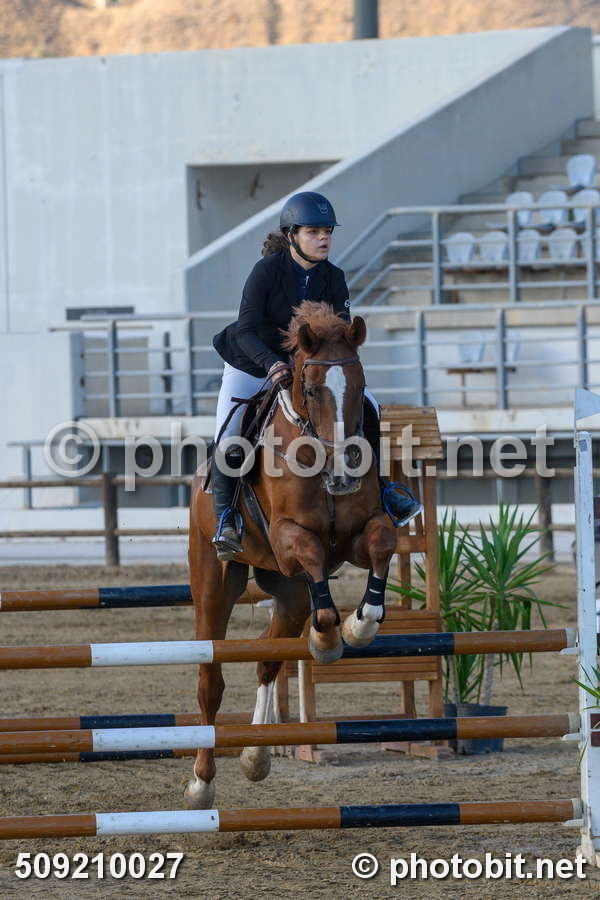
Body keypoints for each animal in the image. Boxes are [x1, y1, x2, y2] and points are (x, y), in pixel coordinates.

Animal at [185, 301, 397, 808]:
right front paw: (328, 637)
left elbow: (382, 544)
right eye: (312, 389)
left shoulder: (357, 535)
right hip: (214, 584)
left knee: (268, 657)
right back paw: (201, 784)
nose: (343, 474)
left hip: (288, 592)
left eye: (360, 384)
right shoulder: (287, 538)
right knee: (210, 681)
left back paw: (256, 757)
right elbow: (311, 554)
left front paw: (357, 627)